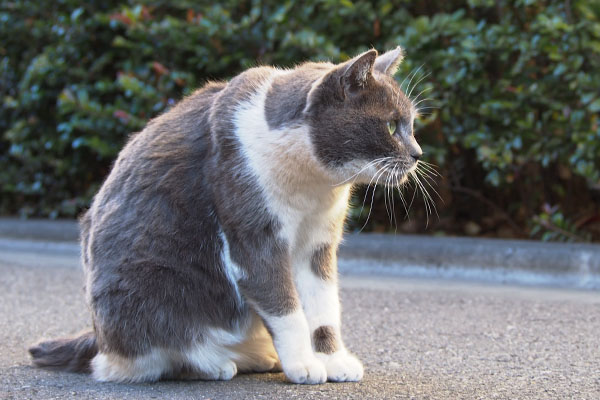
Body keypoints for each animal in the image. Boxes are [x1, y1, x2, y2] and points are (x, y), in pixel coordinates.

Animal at [28, 46, 422, 384]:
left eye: (412, 125)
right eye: (391, 126)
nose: (418, 153)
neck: (314, 186)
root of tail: (97, 336)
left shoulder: (319, 243)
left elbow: (324, 308)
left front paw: (333, 360)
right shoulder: (253, 234)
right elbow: (285, 306)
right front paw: (304, 365)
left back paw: (258, 357)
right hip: (148, 288)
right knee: (144, 358)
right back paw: (216, 363)